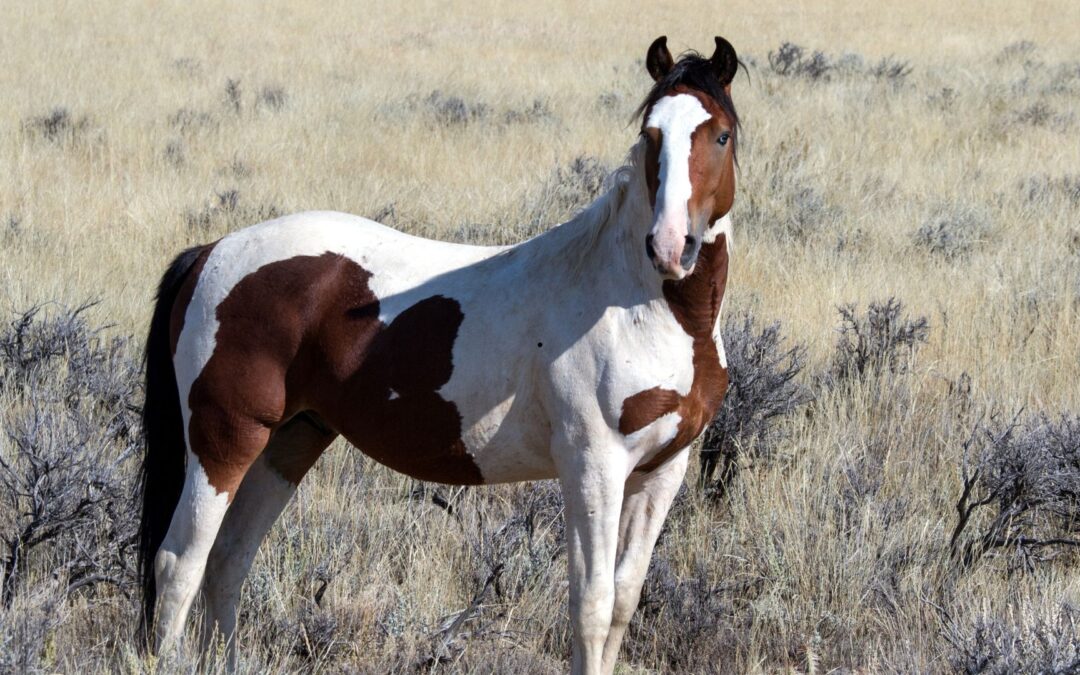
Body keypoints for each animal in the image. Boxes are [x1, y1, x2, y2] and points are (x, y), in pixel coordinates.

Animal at [138, 35, 741, 675]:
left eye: (721, 135)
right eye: (651, 135)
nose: (671, 247)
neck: (636, 304)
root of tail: (211, 252)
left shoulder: (661, 470)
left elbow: (624, 600)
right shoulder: (593, 465)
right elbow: (592, 606)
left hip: (291, 440)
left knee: (228, 560)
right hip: (224, 442)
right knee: (179, 563)